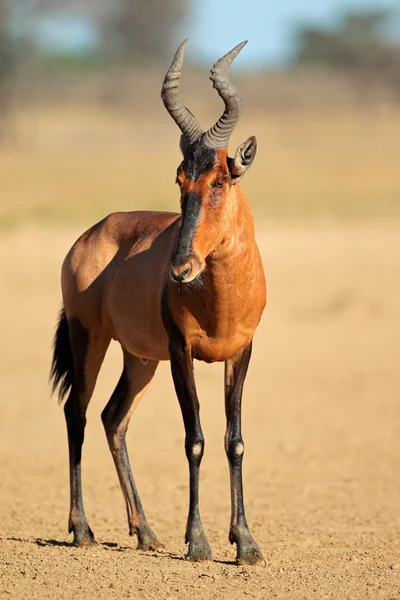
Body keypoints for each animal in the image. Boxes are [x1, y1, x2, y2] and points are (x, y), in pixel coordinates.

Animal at [51, 39, 268, 564]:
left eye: (219, 180)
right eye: (180, 180)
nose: (181, 269)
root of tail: (91, 233)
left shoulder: (241, 352)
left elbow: (234, 440)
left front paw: (246, 543)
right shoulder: (180, 351)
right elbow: (195, 439)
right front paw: (199, 541)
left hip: (139, 358)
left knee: (113, 419)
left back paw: (145, 532)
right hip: (90, 338)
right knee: (77, 414)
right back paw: (82, 529)